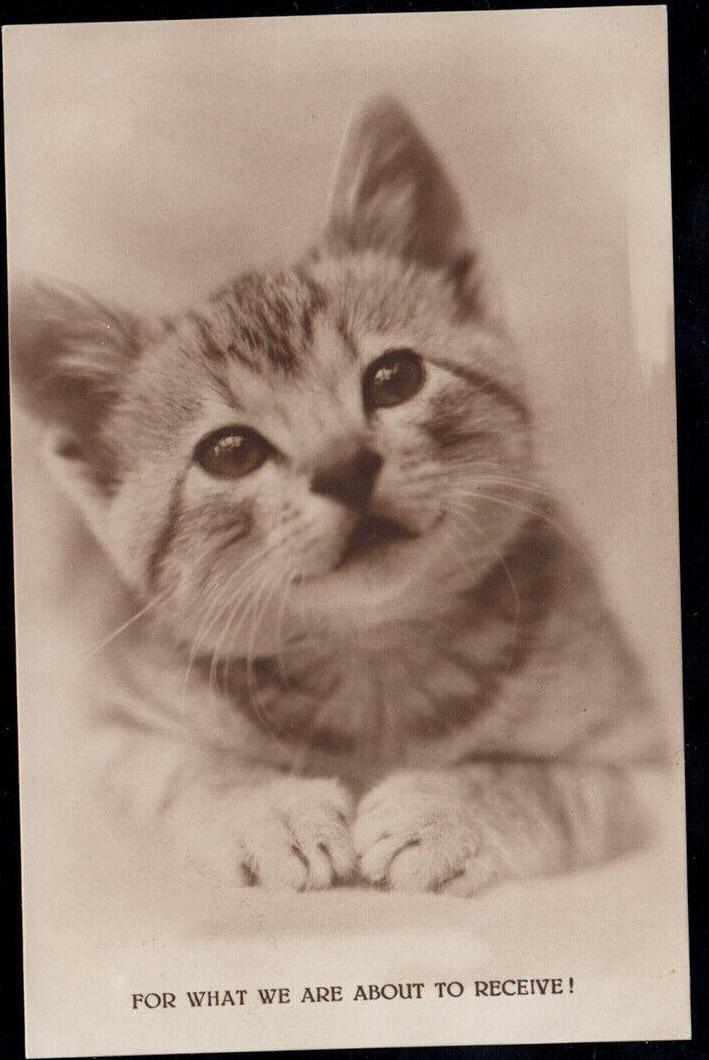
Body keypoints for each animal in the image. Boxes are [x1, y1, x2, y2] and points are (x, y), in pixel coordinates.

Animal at [11, 96, 666, 896]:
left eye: (394, 378)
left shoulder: (646, 764)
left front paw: (448, 811)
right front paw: (267, 810)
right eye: (230, 452)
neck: (374, 660)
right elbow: (175, 770)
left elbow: (559, 784)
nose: (346, 468)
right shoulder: (96, 747)